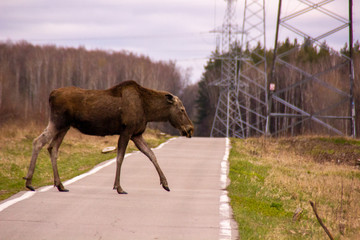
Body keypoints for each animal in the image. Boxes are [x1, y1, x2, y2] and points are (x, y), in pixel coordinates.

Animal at [23, 79, 194, 194]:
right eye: (182, 109)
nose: (190, 129)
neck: (149, 111)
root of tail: (51, 95)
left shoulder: (136, 134)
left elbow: (151, 155)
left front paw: (165, 184)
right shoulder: (127, 131)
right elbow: (120, 158)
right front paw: (119, 187)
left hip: (64, 126)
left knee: (52, 147)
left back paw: (60, 185)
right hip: (58, 121)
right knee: (38, 141)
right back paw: (29, 182)